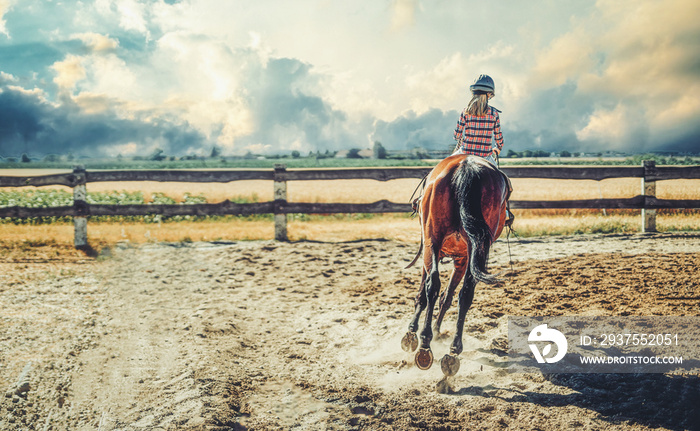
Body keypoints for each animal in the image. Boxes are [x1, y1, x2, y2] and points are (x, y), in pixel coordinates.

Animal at [400, 154, 508, 376]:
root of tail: (466, 167)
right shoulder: (462, 259)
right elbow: (448, 297)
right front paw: (437, 331)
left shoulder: (429, 251)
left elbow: (423, 294)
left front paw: (411, 333)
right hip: (476, 249)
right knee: (465, 294)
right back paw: (453, 351)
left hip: (432, 240)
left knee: (432, 285)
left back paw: (425, 344)